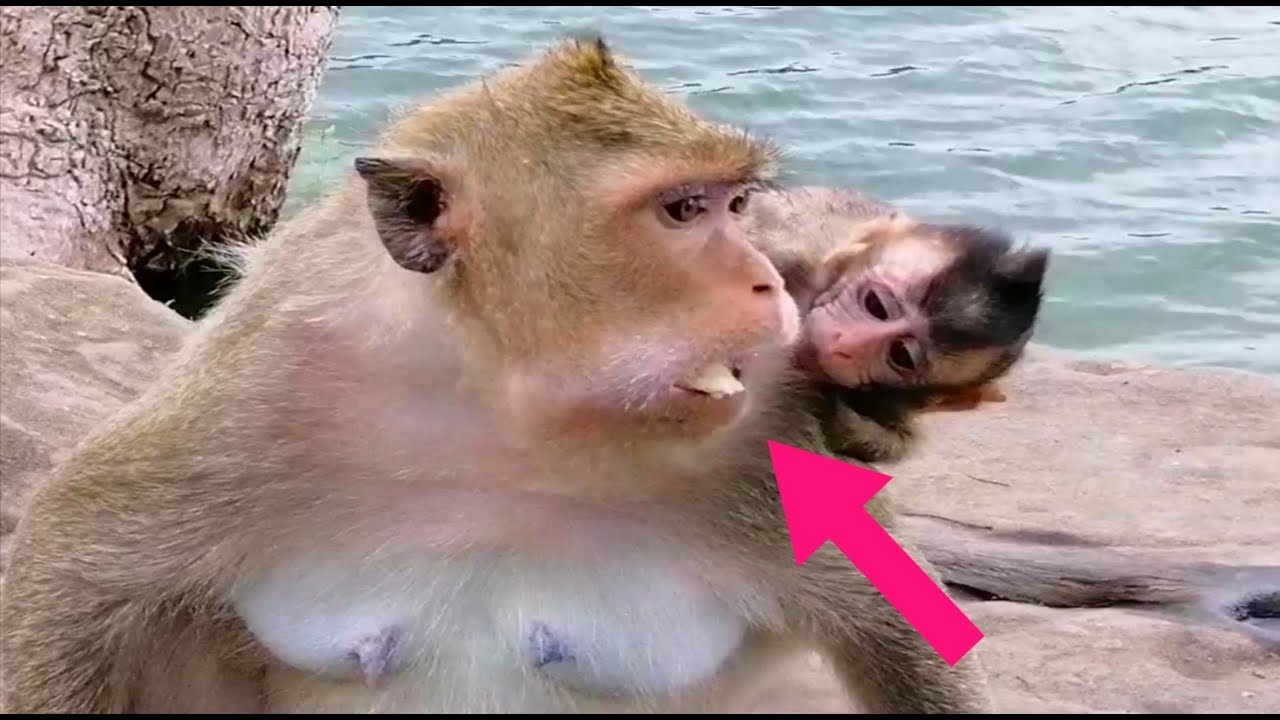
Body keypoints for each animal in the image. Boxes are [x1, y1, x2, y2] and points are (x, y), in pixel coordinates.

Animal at [0, 37, 990, 714]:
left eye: (738, 204)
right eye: (683, 210)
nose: (765, 280)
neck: (507, 415)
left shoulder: (763, 441)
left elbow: (898, 628)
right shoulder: (254, 395)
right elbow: (75, 564)